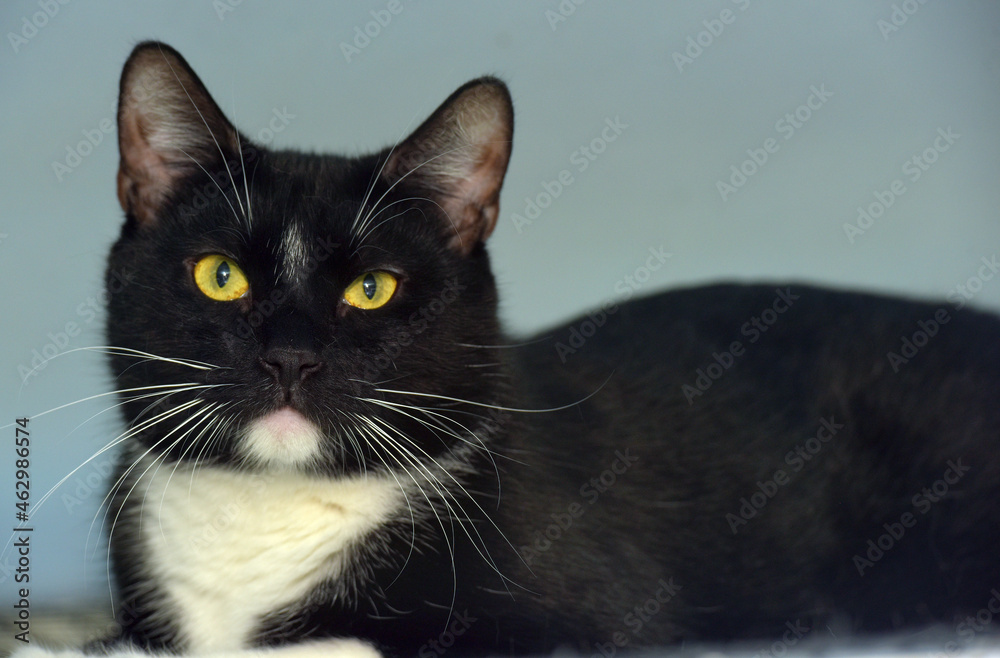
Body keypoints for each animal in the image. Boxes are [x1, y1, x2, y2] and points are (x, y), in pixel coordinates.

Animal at [15, 41, 1000, 656]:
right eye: (220, 276)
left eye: (373, 288)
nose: (290, 357)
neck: (266, 513)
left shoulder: (597, 613)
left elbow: (350, 643)